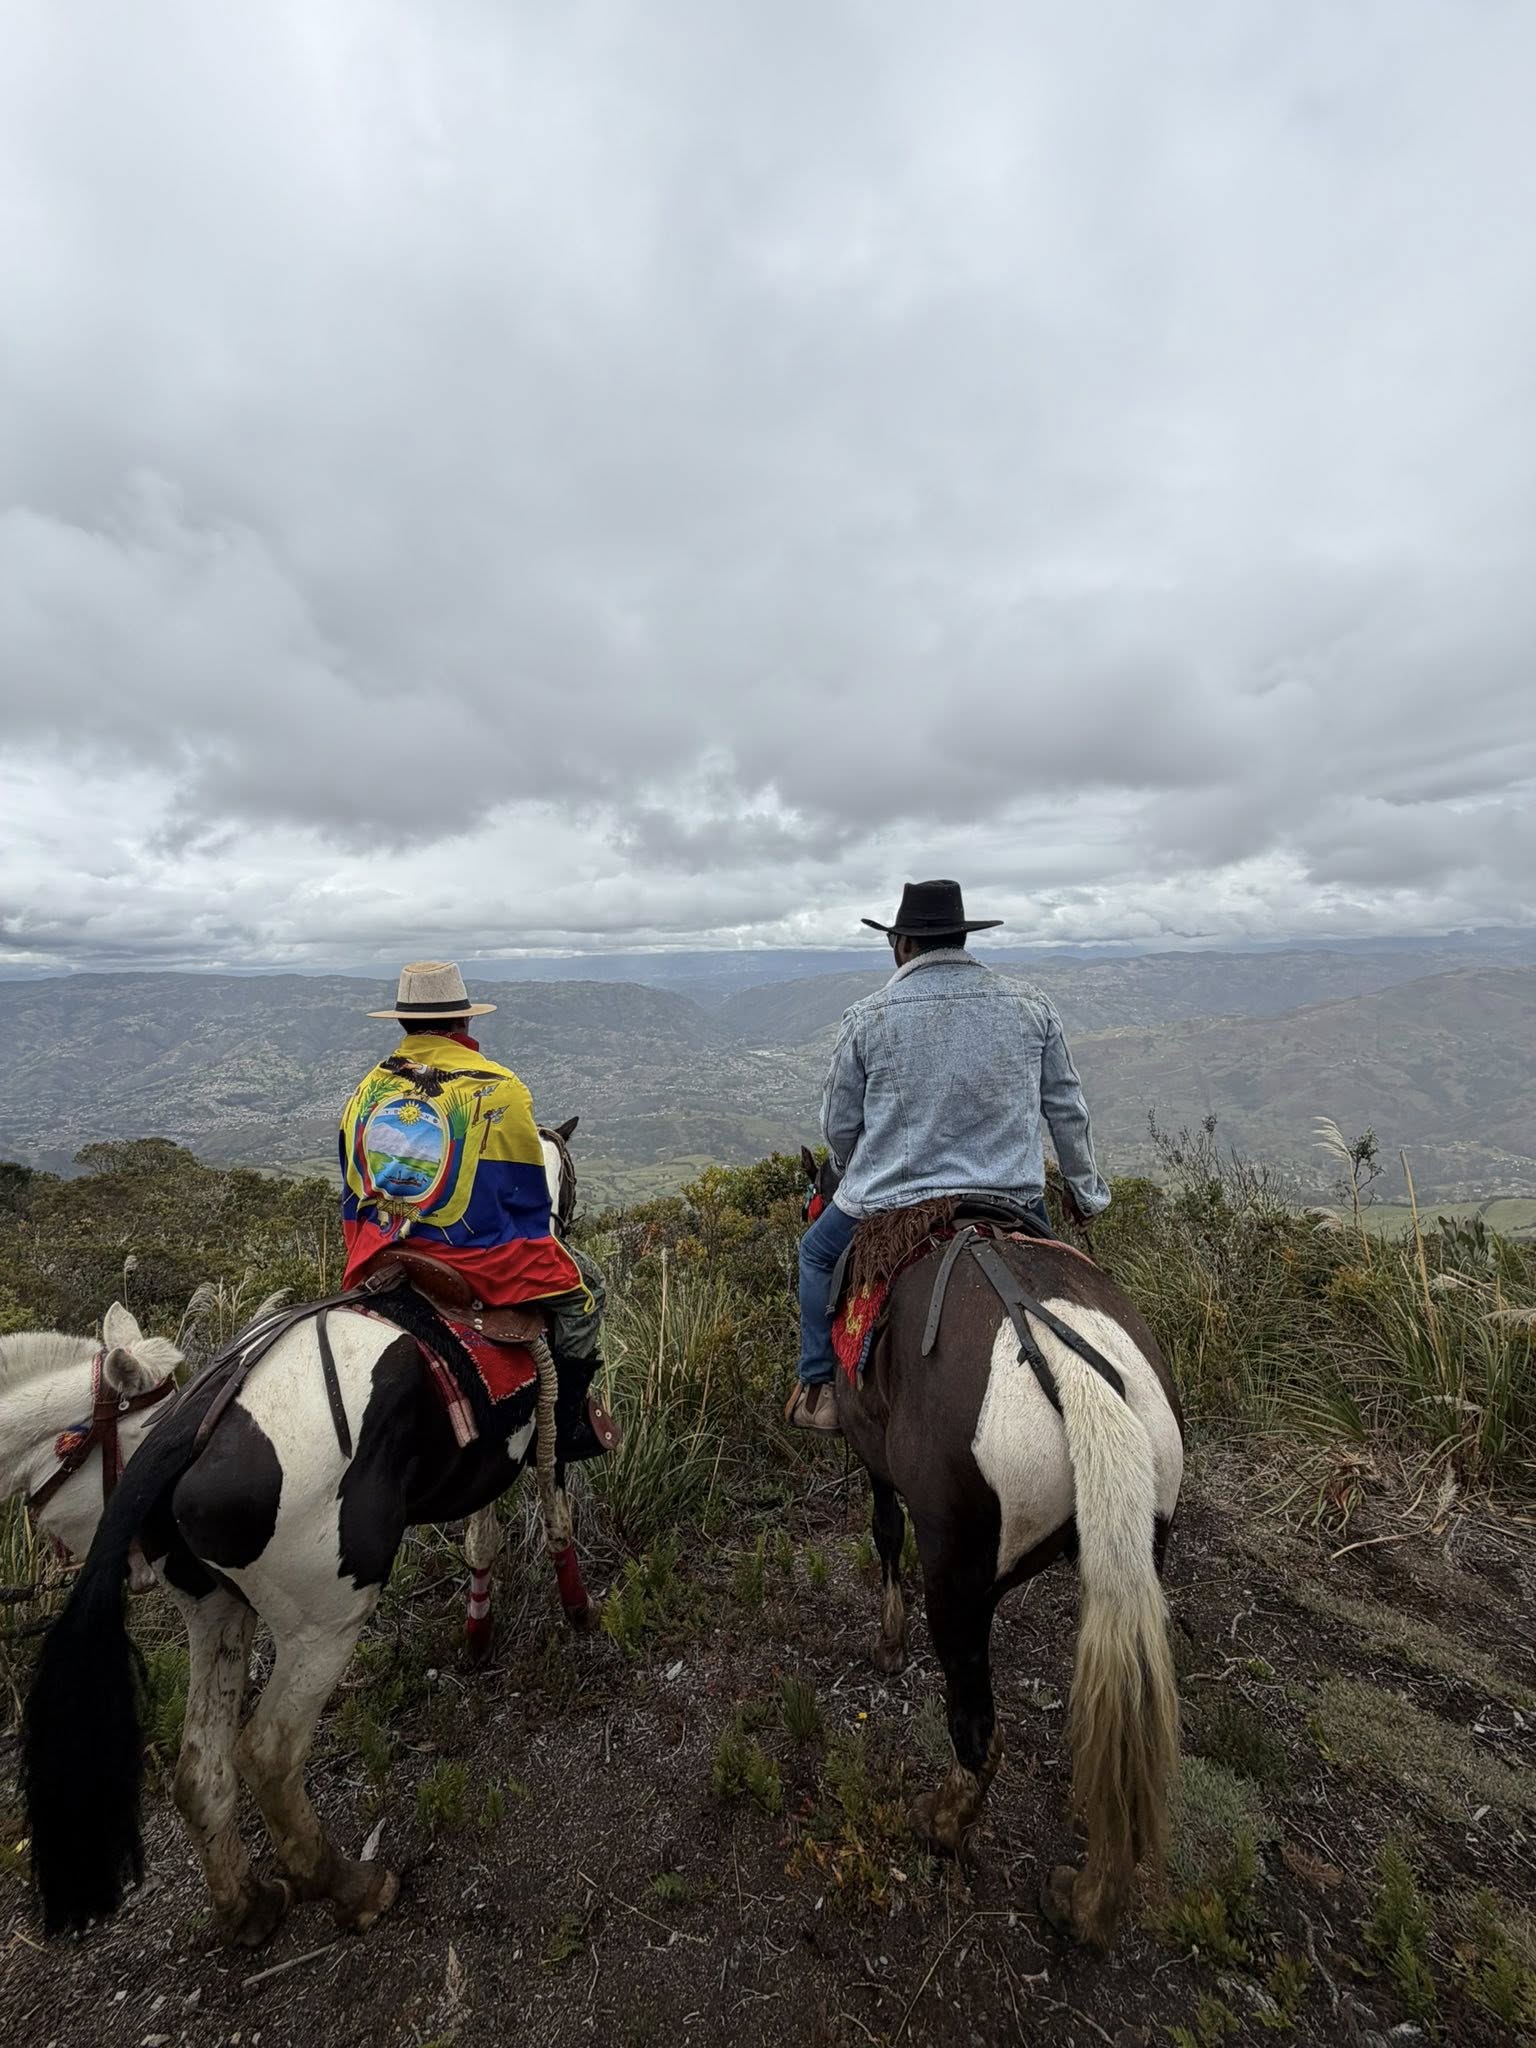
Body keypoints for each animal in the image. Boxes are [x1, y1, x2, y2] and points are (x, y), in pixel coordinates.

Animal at [22, 1118, 601, 1948]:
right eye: (570, 1179)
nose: (568, 1228)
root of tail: (185, 1433)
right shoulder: (542, 1432)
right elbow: (554, 1514)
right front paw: (577, 1610)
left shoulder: (487, 1456)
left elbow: (482, 1539)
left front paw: (480, 1627)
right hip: (325, 1617)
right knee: (268, 1753)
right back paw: (355, 1887)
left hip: (214, 1609)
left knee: (200, 1767)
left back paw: (248, 1906)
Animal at [799, 1148, 1183, 1947]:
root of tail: (1069, 1363)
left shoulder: (874, 1457)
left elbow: (885, 1535)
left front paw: (887, 1645)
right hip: (1137, 1551)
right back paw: (1090, 1898)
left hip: (958, 1575)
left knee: (977, 1728)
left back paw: (944, 1823)